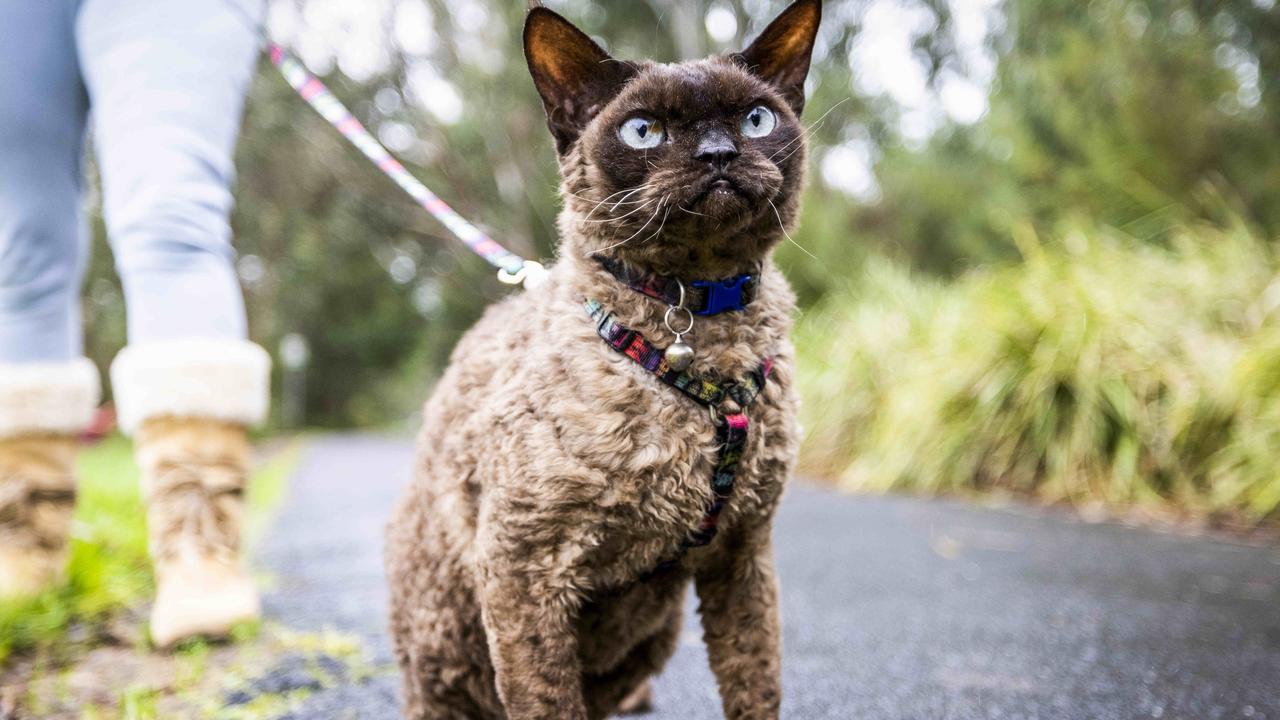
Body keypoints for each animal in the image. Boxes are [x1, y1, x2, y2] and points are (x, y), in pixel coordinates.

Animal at [384, 2, 819, 712]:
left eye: (757, 119)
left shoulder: (742, 552)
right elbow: (545, 702)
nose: (718, 153)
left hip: (654, 632)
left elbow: (757, 685)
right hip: (446, 644)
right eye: (644, 131)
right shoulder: (525, 566)